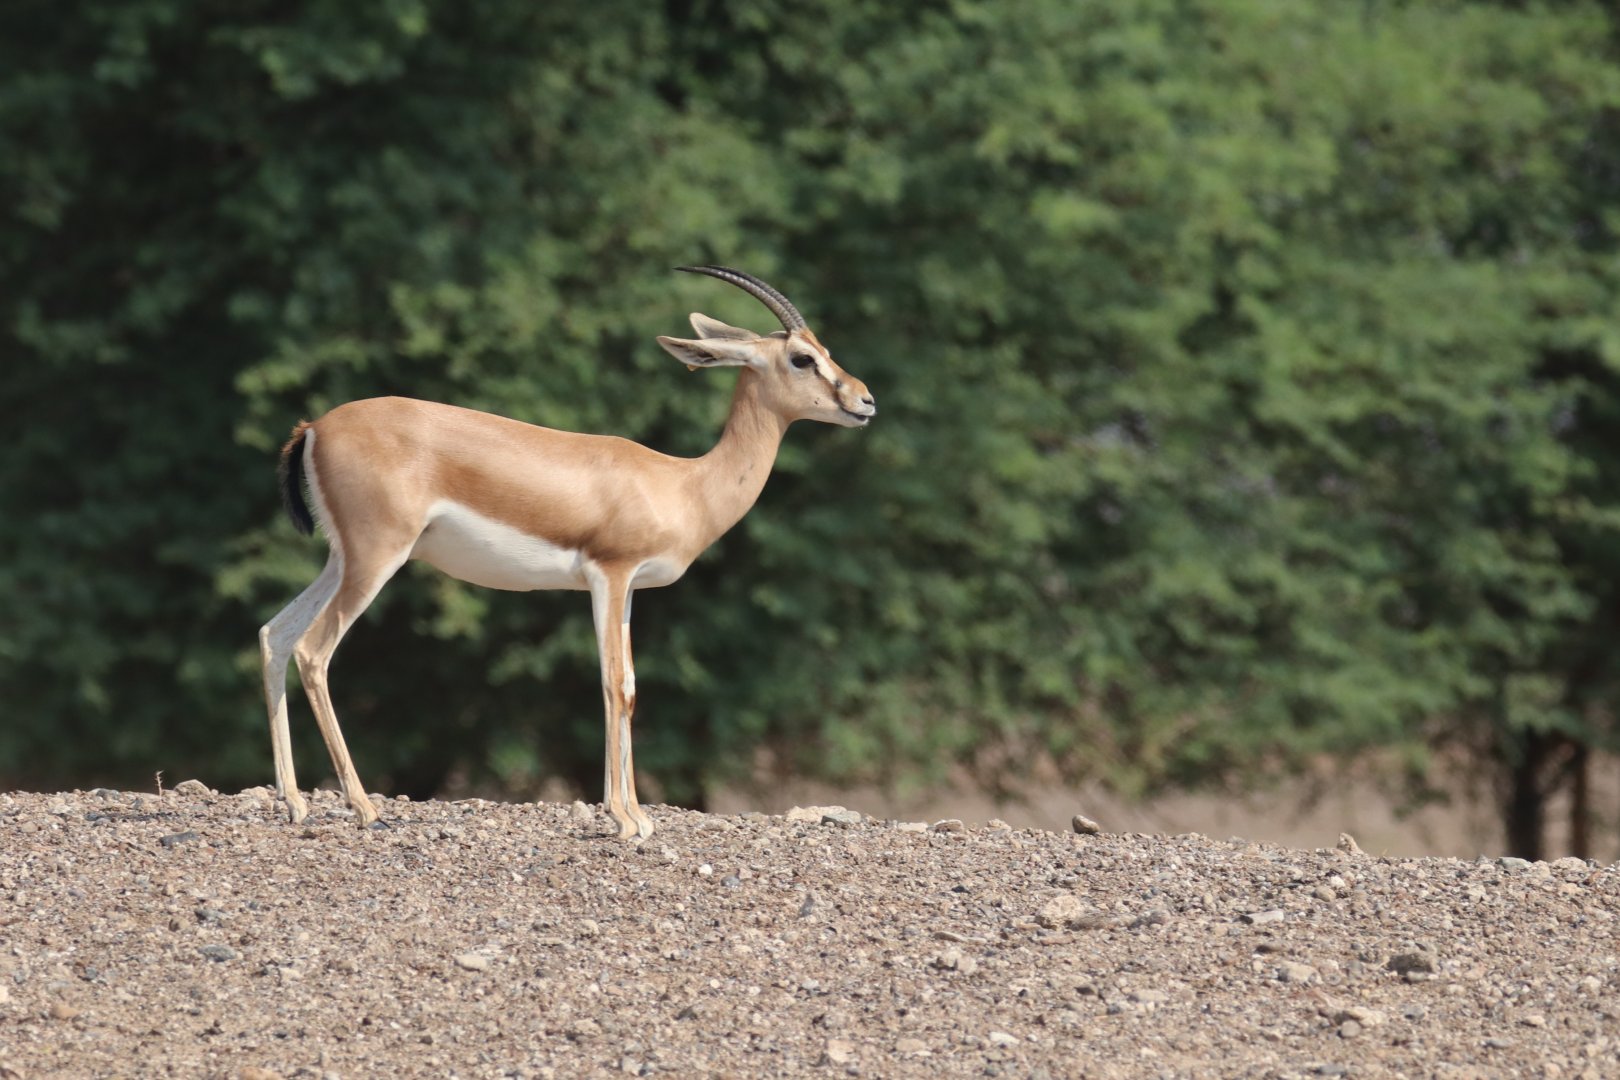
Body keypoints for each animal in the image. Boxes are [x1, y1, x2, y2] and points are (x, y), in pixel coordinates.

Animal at [258, 266, 875, 840]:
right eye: (802, 358)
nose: (864, 400)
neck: (684, 485)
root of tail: (315, 426)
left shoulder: (630, 590)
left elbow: (630, 686)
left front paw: (638, 816)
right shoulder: (610, 574)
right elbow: (612, 684)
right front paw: (624, 819)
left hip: (343, 560)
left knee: (276, 635)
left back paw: (295, 802)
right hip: (376, 558)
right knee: (314, 650)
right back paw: (363, 807)